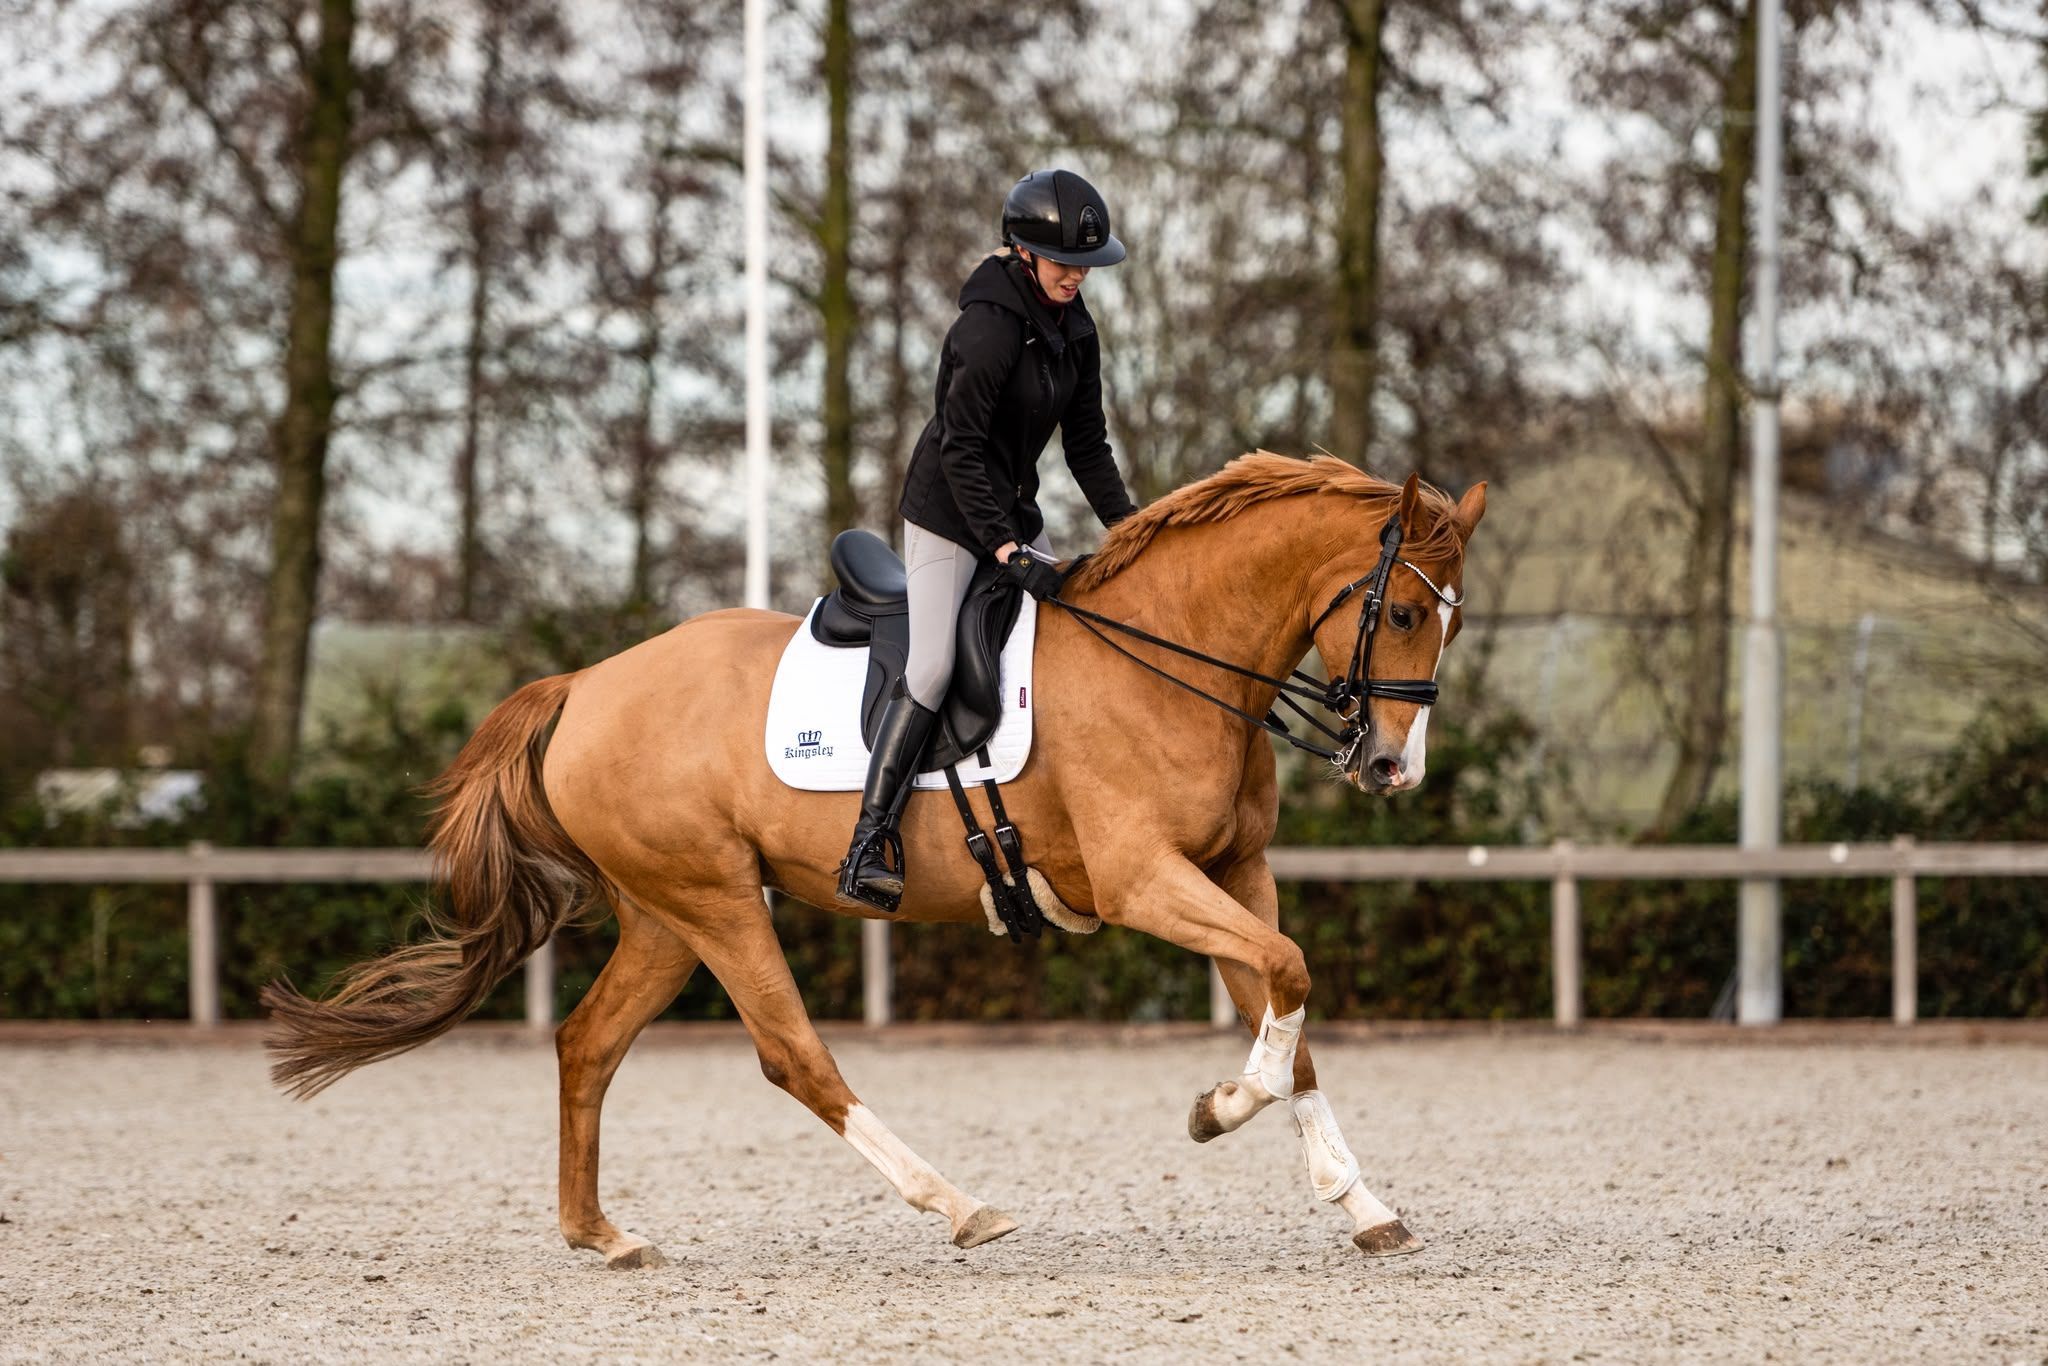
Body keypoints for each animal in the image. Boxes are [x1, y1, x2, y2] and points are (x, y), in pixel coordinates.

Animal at [262, 451, 1487, 1267]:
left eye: (1453, 622)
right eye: (1403, 612)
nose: (1392, 767)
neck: (1173, 657)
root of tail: (585, 685)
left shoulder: (1234, 873)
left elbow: (1289, 1006)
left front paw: (1359, 1203)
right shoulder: (1146, 880)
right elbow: (1285, 978)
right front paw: (1216, 1110)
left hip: (665, 916)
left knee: (588, 1044)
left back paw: (601, 1234)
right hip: (716, 903)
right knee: (791, 1057)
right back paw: (957, 1204)